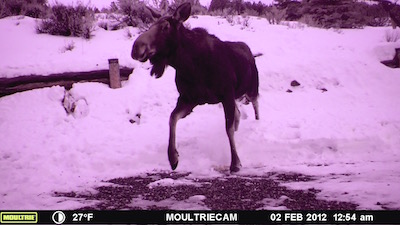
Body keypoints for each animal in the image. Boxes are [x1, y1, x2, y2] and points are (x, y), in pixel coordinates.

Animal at [131, 2, 260, 172]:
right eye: (151, 25)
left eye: (165, 27)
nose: (136, 48)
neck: (190, 65)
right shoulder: (189, 98)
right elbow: (172, 118)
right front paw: (173, 157)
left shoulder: (226, 94)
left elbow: (228, 128)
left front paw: (235, 163)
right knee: (239, 114)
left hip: (251, 88)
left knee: (256, 105)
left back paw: (257, 125)